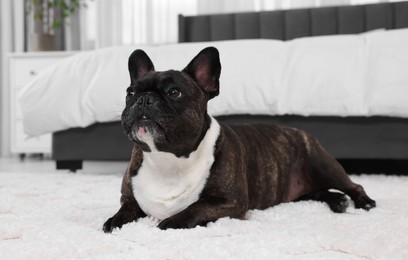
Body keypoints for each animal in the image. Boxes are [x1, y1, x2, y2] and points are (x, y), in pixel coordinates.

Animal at [103, 46, 376, 232]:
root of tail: (300, 131)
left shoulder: (229, 202)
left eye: (174, 92)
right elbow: (124, 209)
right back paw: (337, 201)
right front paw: (113, 222)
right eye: (130, 92)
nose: (143, 99)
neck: (168, 160)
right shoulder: (129, 198)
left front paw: (170, 222)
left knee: (353, 185)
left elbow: (195, 208)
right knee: (317, 192)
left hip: (323, 164)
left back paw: (363, 202)